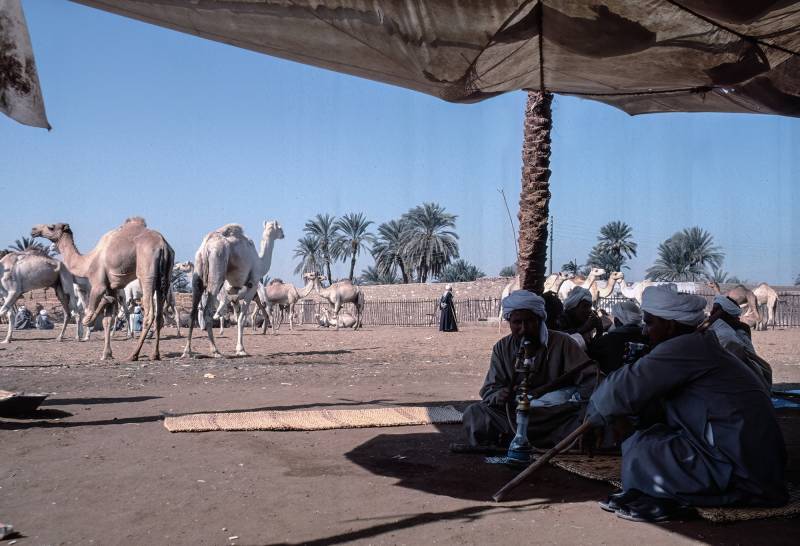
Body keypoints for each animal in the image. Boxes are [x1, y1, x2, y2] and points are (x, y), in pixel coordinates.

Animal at [32, 217, 175, 362]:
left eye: (51, 227)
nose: (34, 230)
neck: (87, 262)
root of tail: (163, 246)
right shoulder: (111, 287)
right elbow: (107, 320)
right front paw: (107, 354)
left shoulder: (98, 285)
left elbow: (88, 315)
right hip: (164, 279)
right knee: (159, 316)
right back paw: (155, 354)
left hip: (146, 272)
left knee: (149, 314)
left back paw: (133, 355)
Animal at [183, 221, 282, 356]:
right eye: (280, 228)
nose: (283, 234)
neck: (260, 263)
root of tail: (206, 245)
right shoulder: (252, 284)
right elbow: (241, 318)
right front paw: (241, 349)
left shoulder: (234, 297)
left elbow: (237, 316)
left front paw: (238, 347)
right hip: (218, 266)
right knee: (208, 311)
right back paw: (215, 350)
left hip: (198, 272)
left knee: (193, 311)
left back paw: (187, 351)